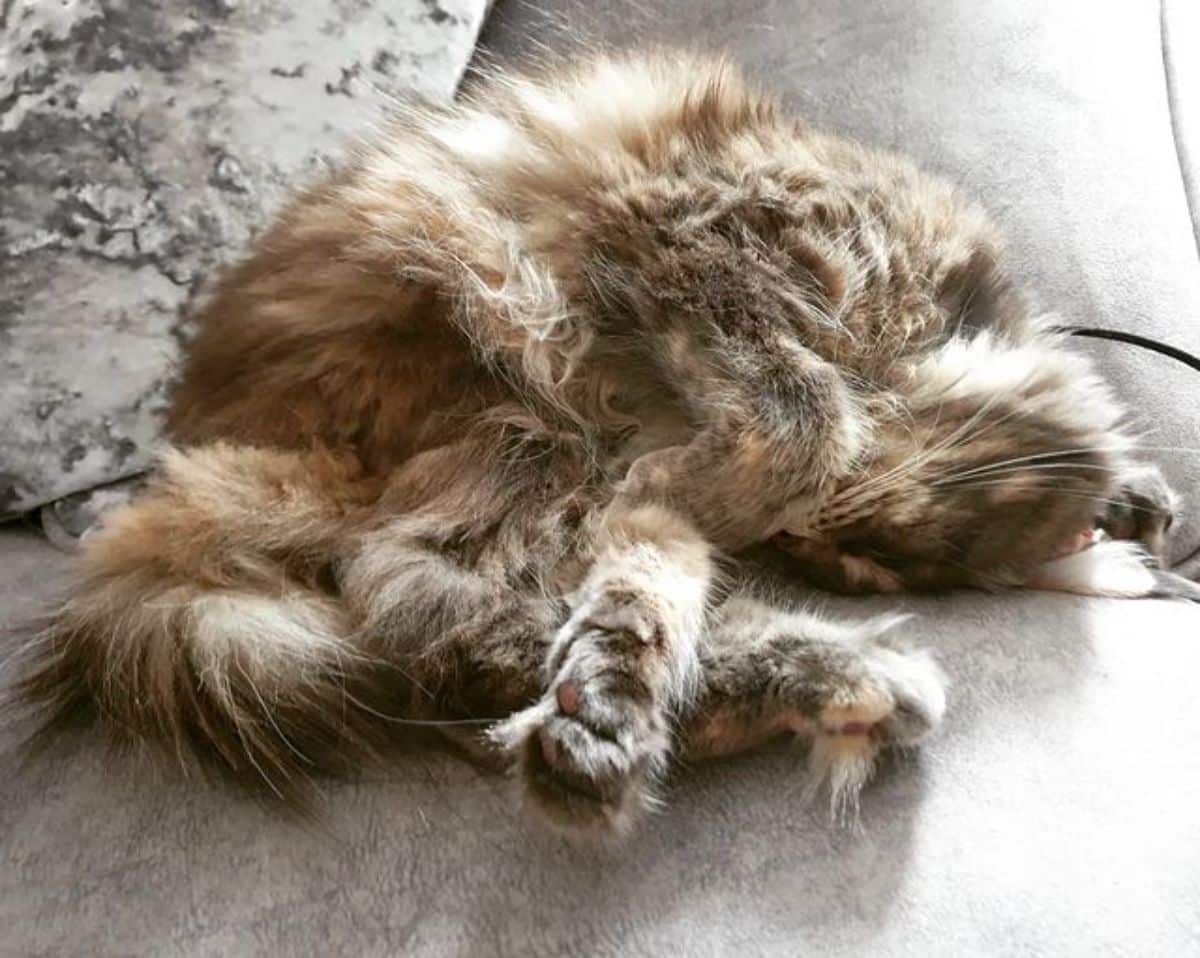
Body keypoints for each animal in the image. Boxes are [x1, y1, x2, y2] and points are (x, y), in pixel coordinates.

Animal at [9, 52, 1185, 835]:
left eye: (853, 563)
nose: (795, 548)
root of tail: (191, 461)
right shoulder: (703, 237)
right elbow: (802, 410)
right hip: (508, 399)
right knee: (434, 607)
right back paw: (811, 679)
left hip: (521, 459)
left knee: (486, 627)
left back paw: (638, 715)